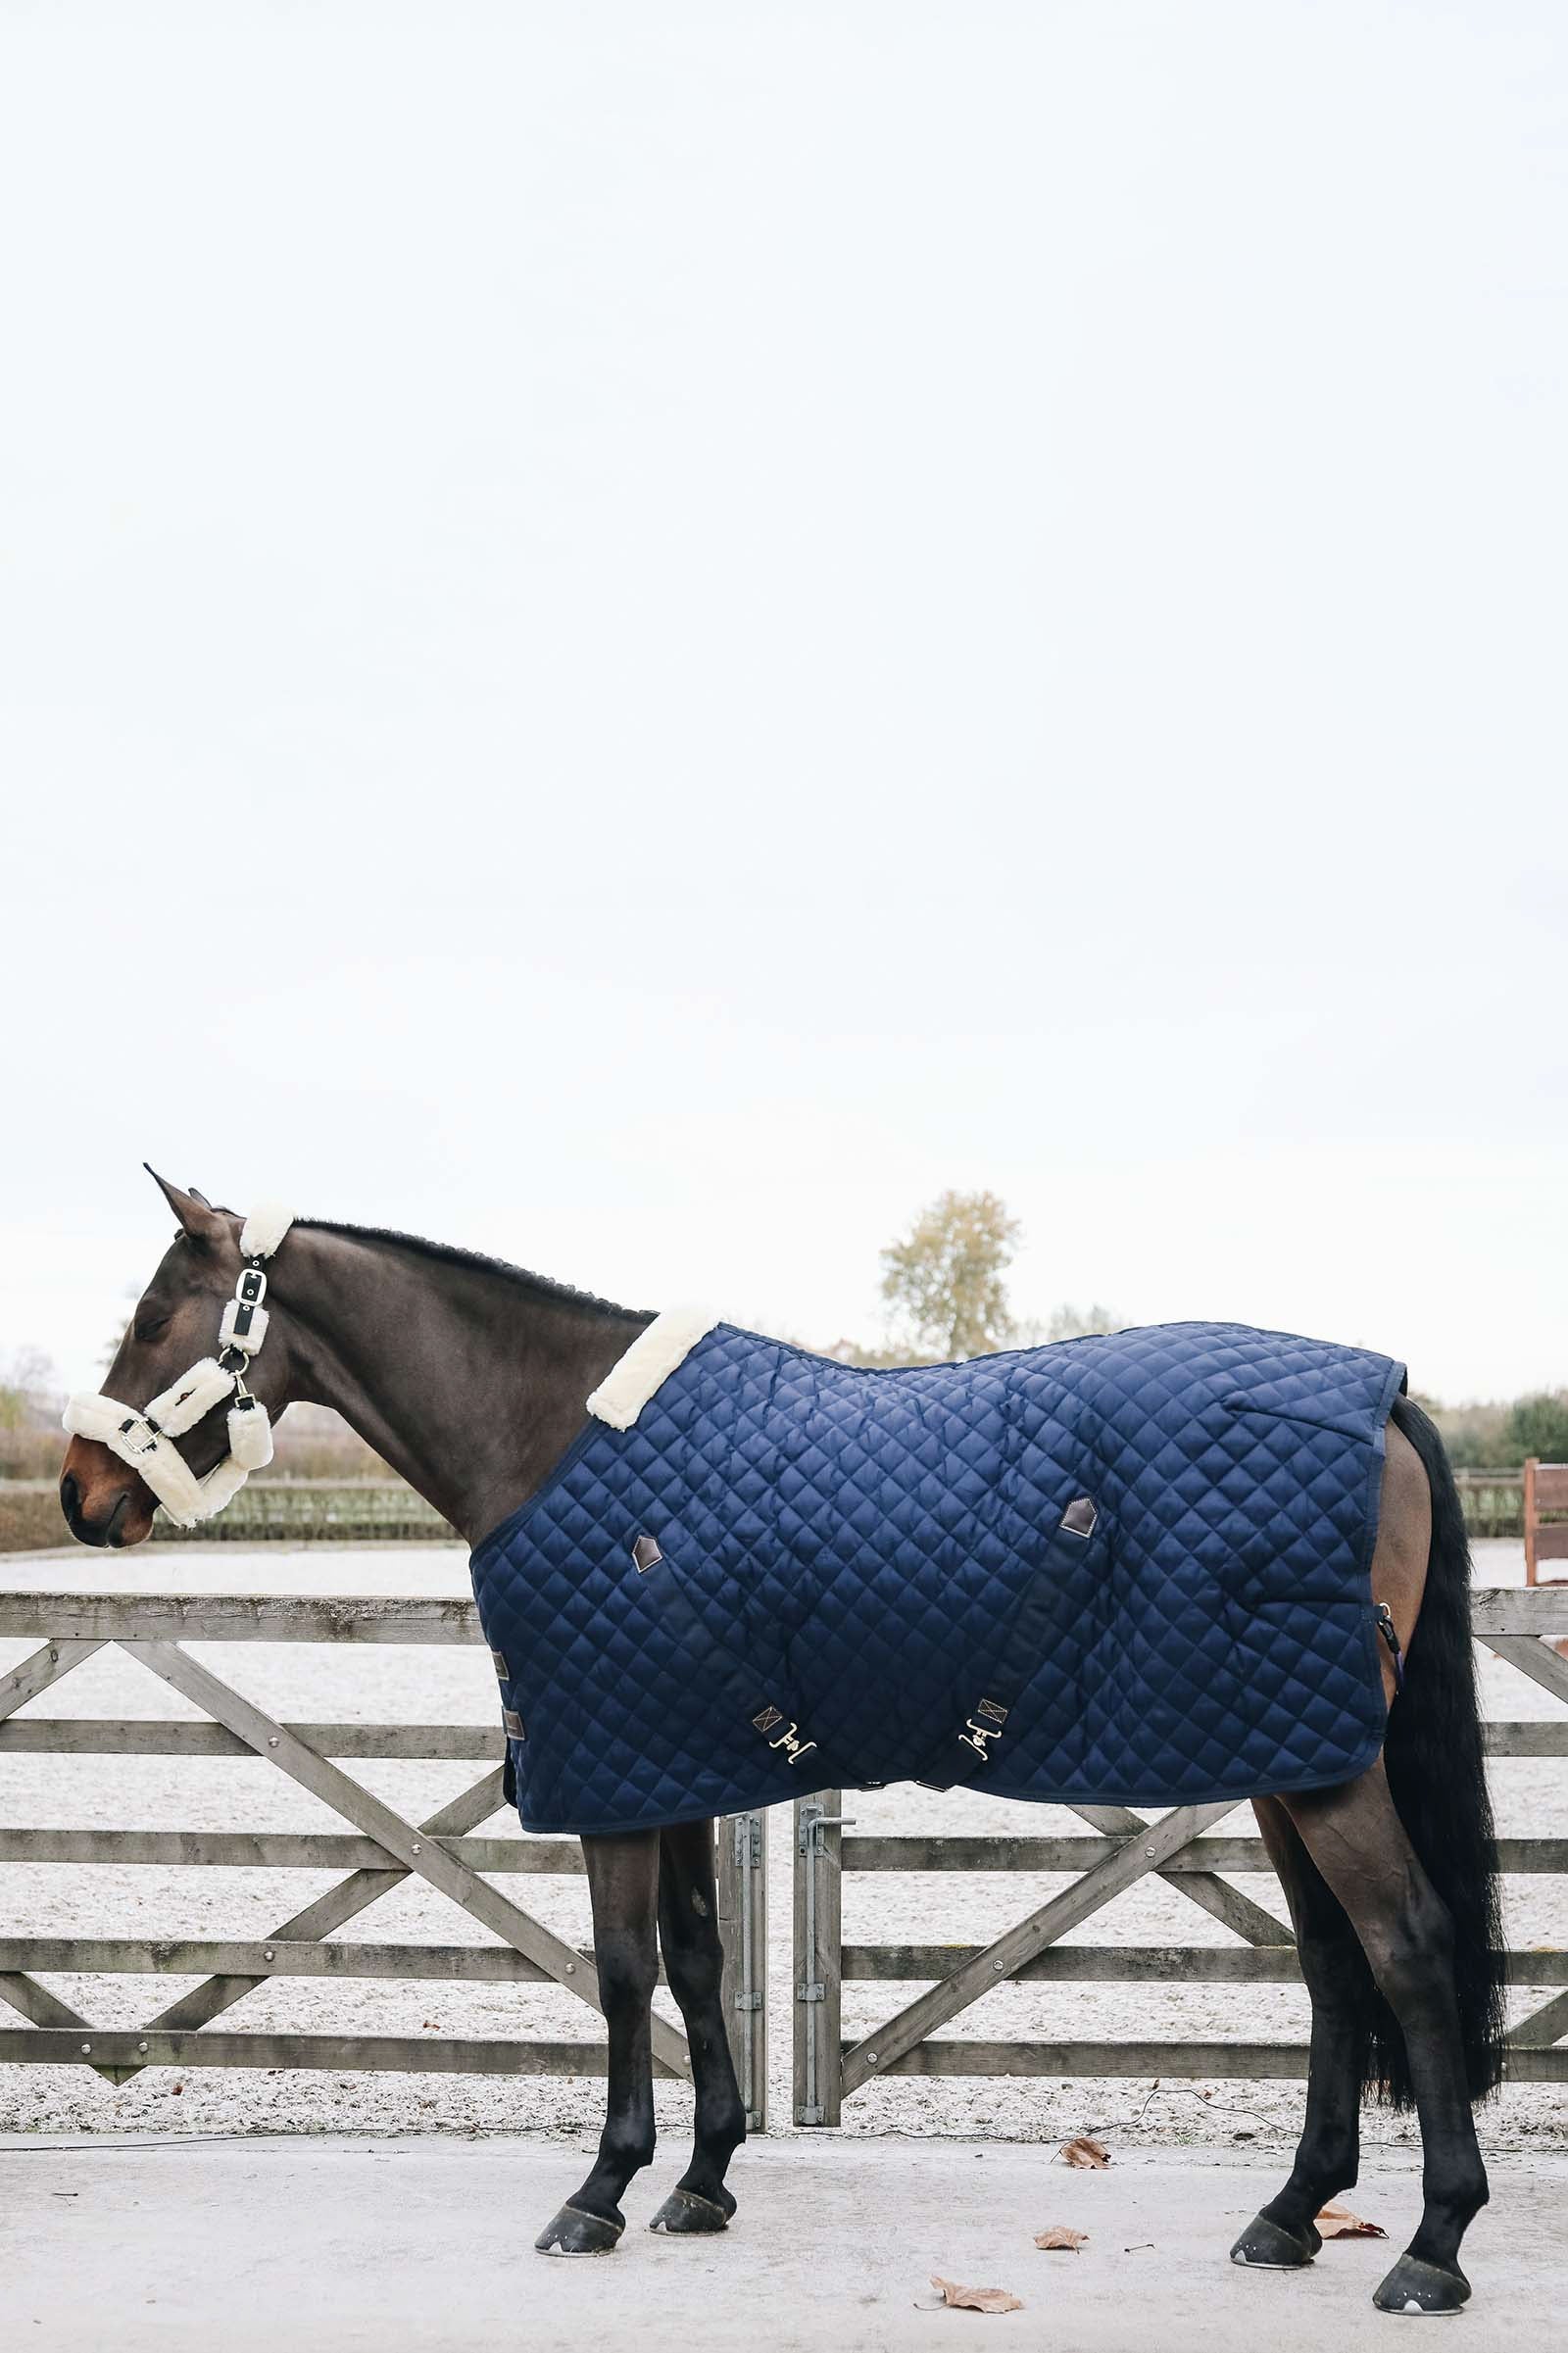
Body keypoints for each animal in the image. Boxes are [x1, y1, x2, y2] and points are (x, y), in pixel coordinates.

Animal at [59, 1171, 1503, 2315]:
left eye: (153, 1317)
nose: (80, 1494)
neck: (551, 1435)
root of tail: (1381, 1399)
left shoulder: (613, 1771)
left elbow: (625, 1970)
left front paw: (599, 2190)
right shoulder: (675, 1762)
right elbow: (698, 1961)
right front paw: (702, 2179)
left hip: (1321, 1767)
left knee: (1406, 1943)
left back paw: (1431, 2247)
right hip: (1285, 1754)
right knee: (1331, 1963)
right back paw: (1289, 2216)